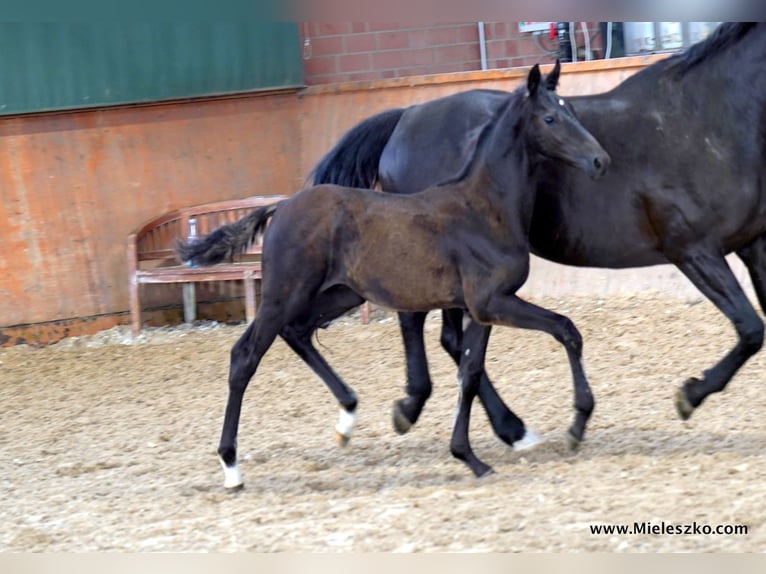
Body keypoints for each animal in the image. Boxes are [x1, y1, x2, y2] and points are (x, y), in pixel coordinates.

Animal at [180, 62, 612, 486]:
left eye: (573, 112)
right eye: (550, 118)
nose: (600, 161)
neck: (485, 207)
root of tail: (281, 206)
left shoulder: (483, 309)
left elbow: (470, 373)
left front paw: (470, 456)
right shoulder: (493, 302)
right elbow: (565, 329)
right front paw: (576, 426)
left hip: (340, 292)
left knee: (298, 331)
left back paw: (348, 417)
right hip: (283, 293)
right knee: (245, 357)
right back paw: (231, 466)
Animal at [308, 21, 766, 446]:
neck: (703, 121)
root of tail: (405, 118)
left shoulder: (753, 246)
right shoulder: (694, 251)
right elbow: (750, 329)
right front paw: (690, 395)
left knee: (452, 340)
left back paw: (505, 427)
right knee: (426, 327)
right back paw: (440, 412)